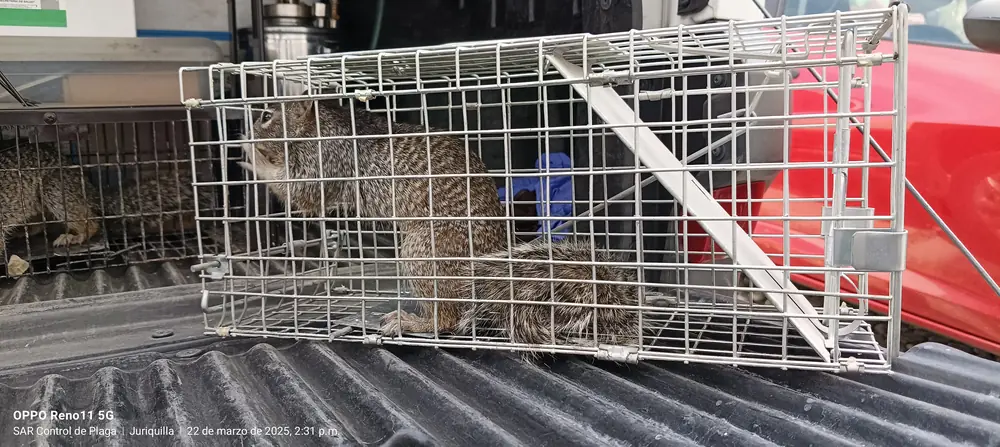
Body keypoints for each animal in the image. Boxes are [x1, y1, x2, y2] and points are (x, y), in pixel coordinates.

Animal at [237, 98, 644, 358]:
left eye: (266, 114)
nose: (247, 126)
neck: (326, 125)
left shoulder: (327, 158)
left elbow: (304, 192)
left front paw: (251, 157)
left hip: (423, 251)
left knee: (447, 320)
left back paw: (410, 322)